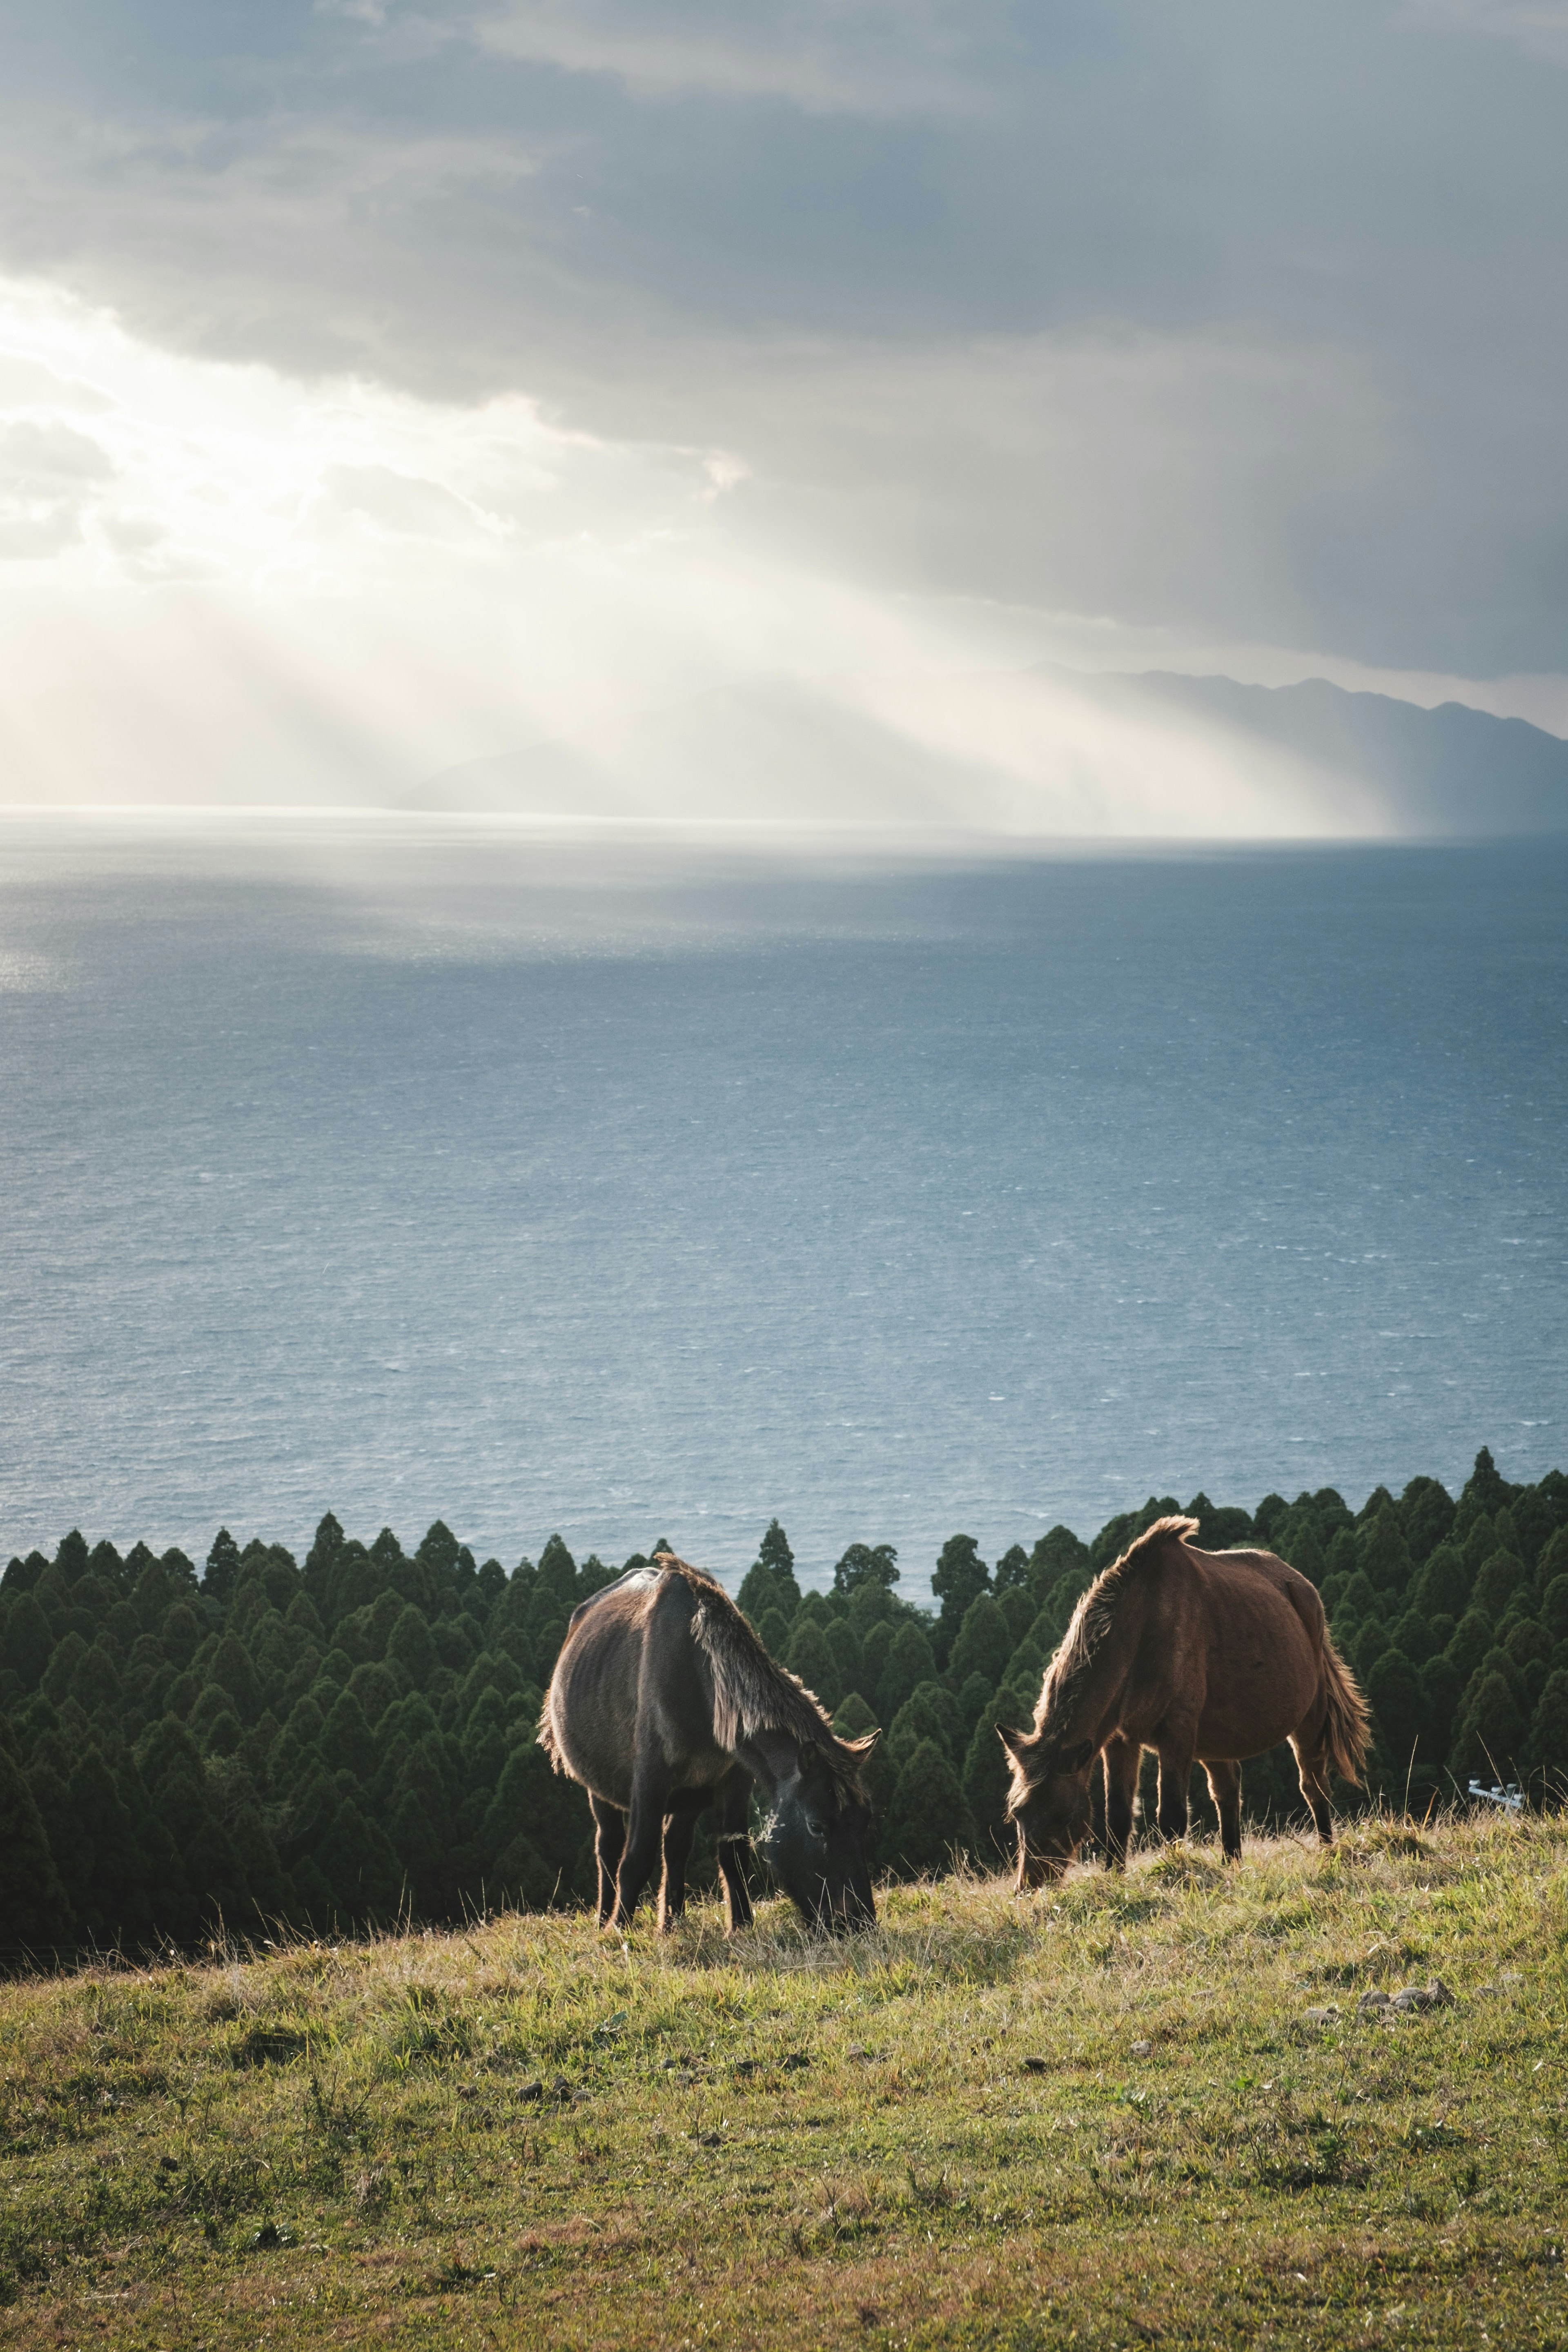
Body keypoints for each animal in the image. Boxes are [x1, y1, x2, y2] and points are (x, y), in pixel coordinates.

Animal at [541, 1543, 884, 1929]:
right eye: (817, 1826)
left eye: (865, 1821)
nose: (857, 1922)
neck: (702, 1677)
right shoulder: (650, 1778)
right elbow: (636, 1859)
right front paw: (619, 1929)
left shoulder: (734, 1778)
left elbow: (733, 1853)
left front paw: (742, 1925)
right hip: (600, 1787)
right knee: (609, 1847)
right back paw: (605, 1918)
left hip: (691, 1792)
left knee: (675, 1845)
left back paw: (672, 1923)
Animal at [1001, 1515, 1363, 1882]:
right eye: (1017, 1813)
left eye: (1062, 1815)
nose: (1030, 1885)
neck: (1142, 1627)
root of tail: (1302, 1586)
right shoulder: (1119, 1741)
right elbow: (1118, 1815)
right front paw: (1115, 1878)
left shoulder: (1177, 1732)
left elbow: (1172, 1816)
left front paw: (1176, 1871)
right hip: (1217, 1738)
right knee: (1227, 1791)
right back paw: (1232, 1863)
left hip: (1310, 1715)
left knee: (1314, 1785)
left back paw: (1328, 1852)